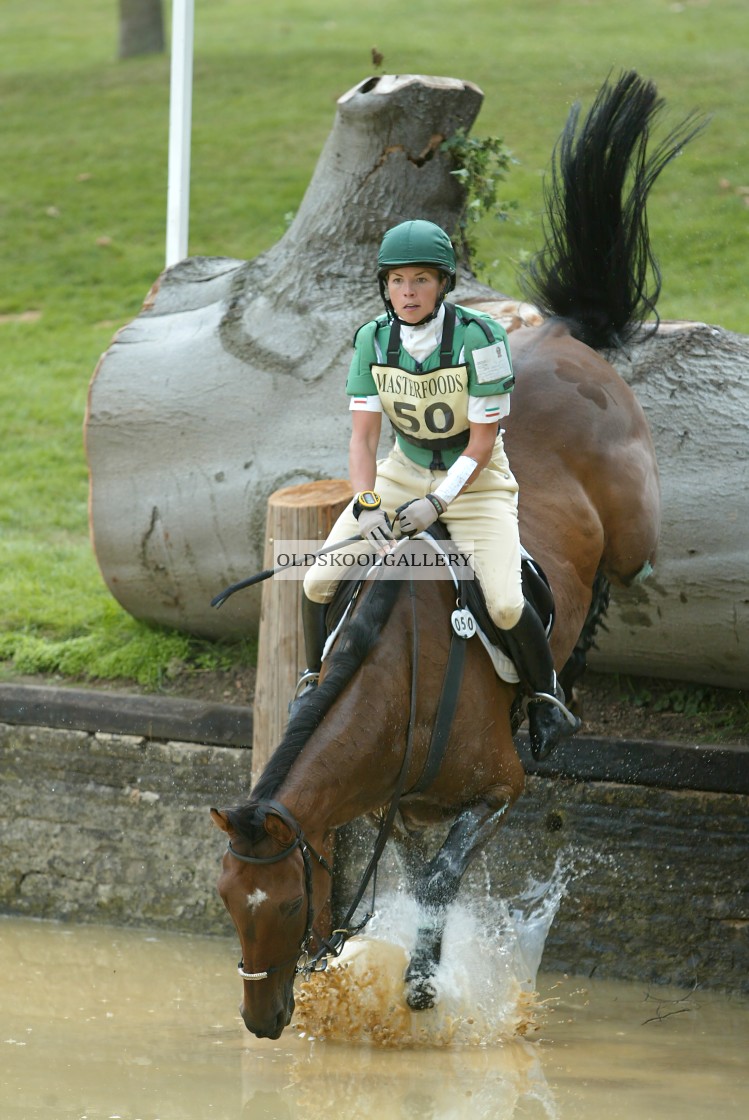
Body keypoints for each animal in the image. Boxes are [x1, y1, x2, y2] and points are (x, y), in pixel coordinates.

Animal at [209, 70, 703, 1034]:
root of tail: (561, 335)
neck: (397, 688)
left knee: (597, 583)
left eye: (282, 904)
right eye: (223, 900)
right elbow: (415, 875)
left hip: (621, 527)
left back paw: (559, 691)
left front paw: (423, 988)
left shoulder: (496, 794)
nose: (260, 1021)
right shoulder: (403, 804)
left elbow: (440, 884)